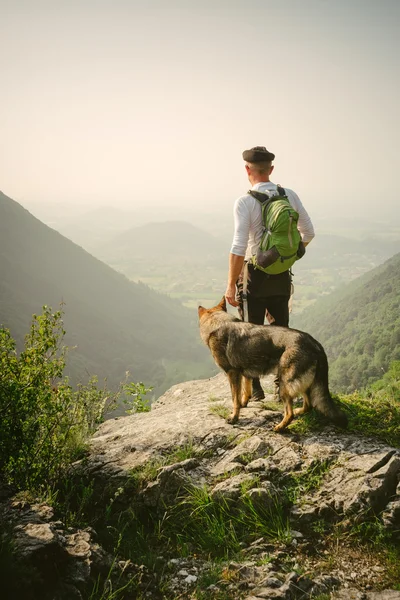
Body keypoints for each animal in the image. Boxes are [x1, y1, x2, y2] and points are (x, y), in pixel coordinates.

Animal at [197, 298, 346, 434]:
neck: (219, 323)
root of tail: (315, 344)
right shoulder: (244, 373)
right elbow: (245, 391)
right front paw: (244, 403)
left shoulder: (232, 373)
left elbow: (235, 399)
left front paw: (234, 417)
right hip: (303, 383)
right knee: (308, 405)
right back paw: (299, 412)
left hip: (284, 385)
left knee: (290, 413)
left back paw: (279, 428)